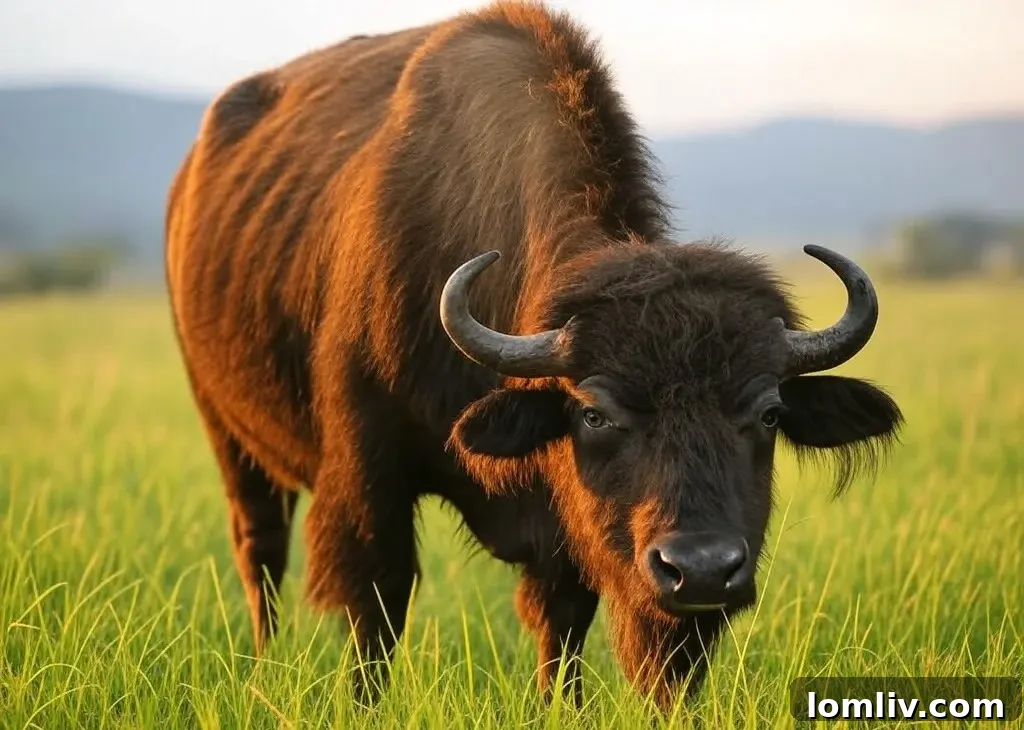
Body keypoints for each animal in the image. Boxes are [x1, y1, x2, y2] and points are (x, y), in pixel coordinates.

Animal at [164, 0, 903, 711]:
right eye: (595, 413)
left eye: (770, 413)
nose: (699, 568)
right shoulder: (367, 476)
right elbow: (377, 604)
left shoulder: (565, 534)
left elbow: (563, 620)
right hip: (225, 430)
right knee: (259, 552)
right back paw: (262, 669)